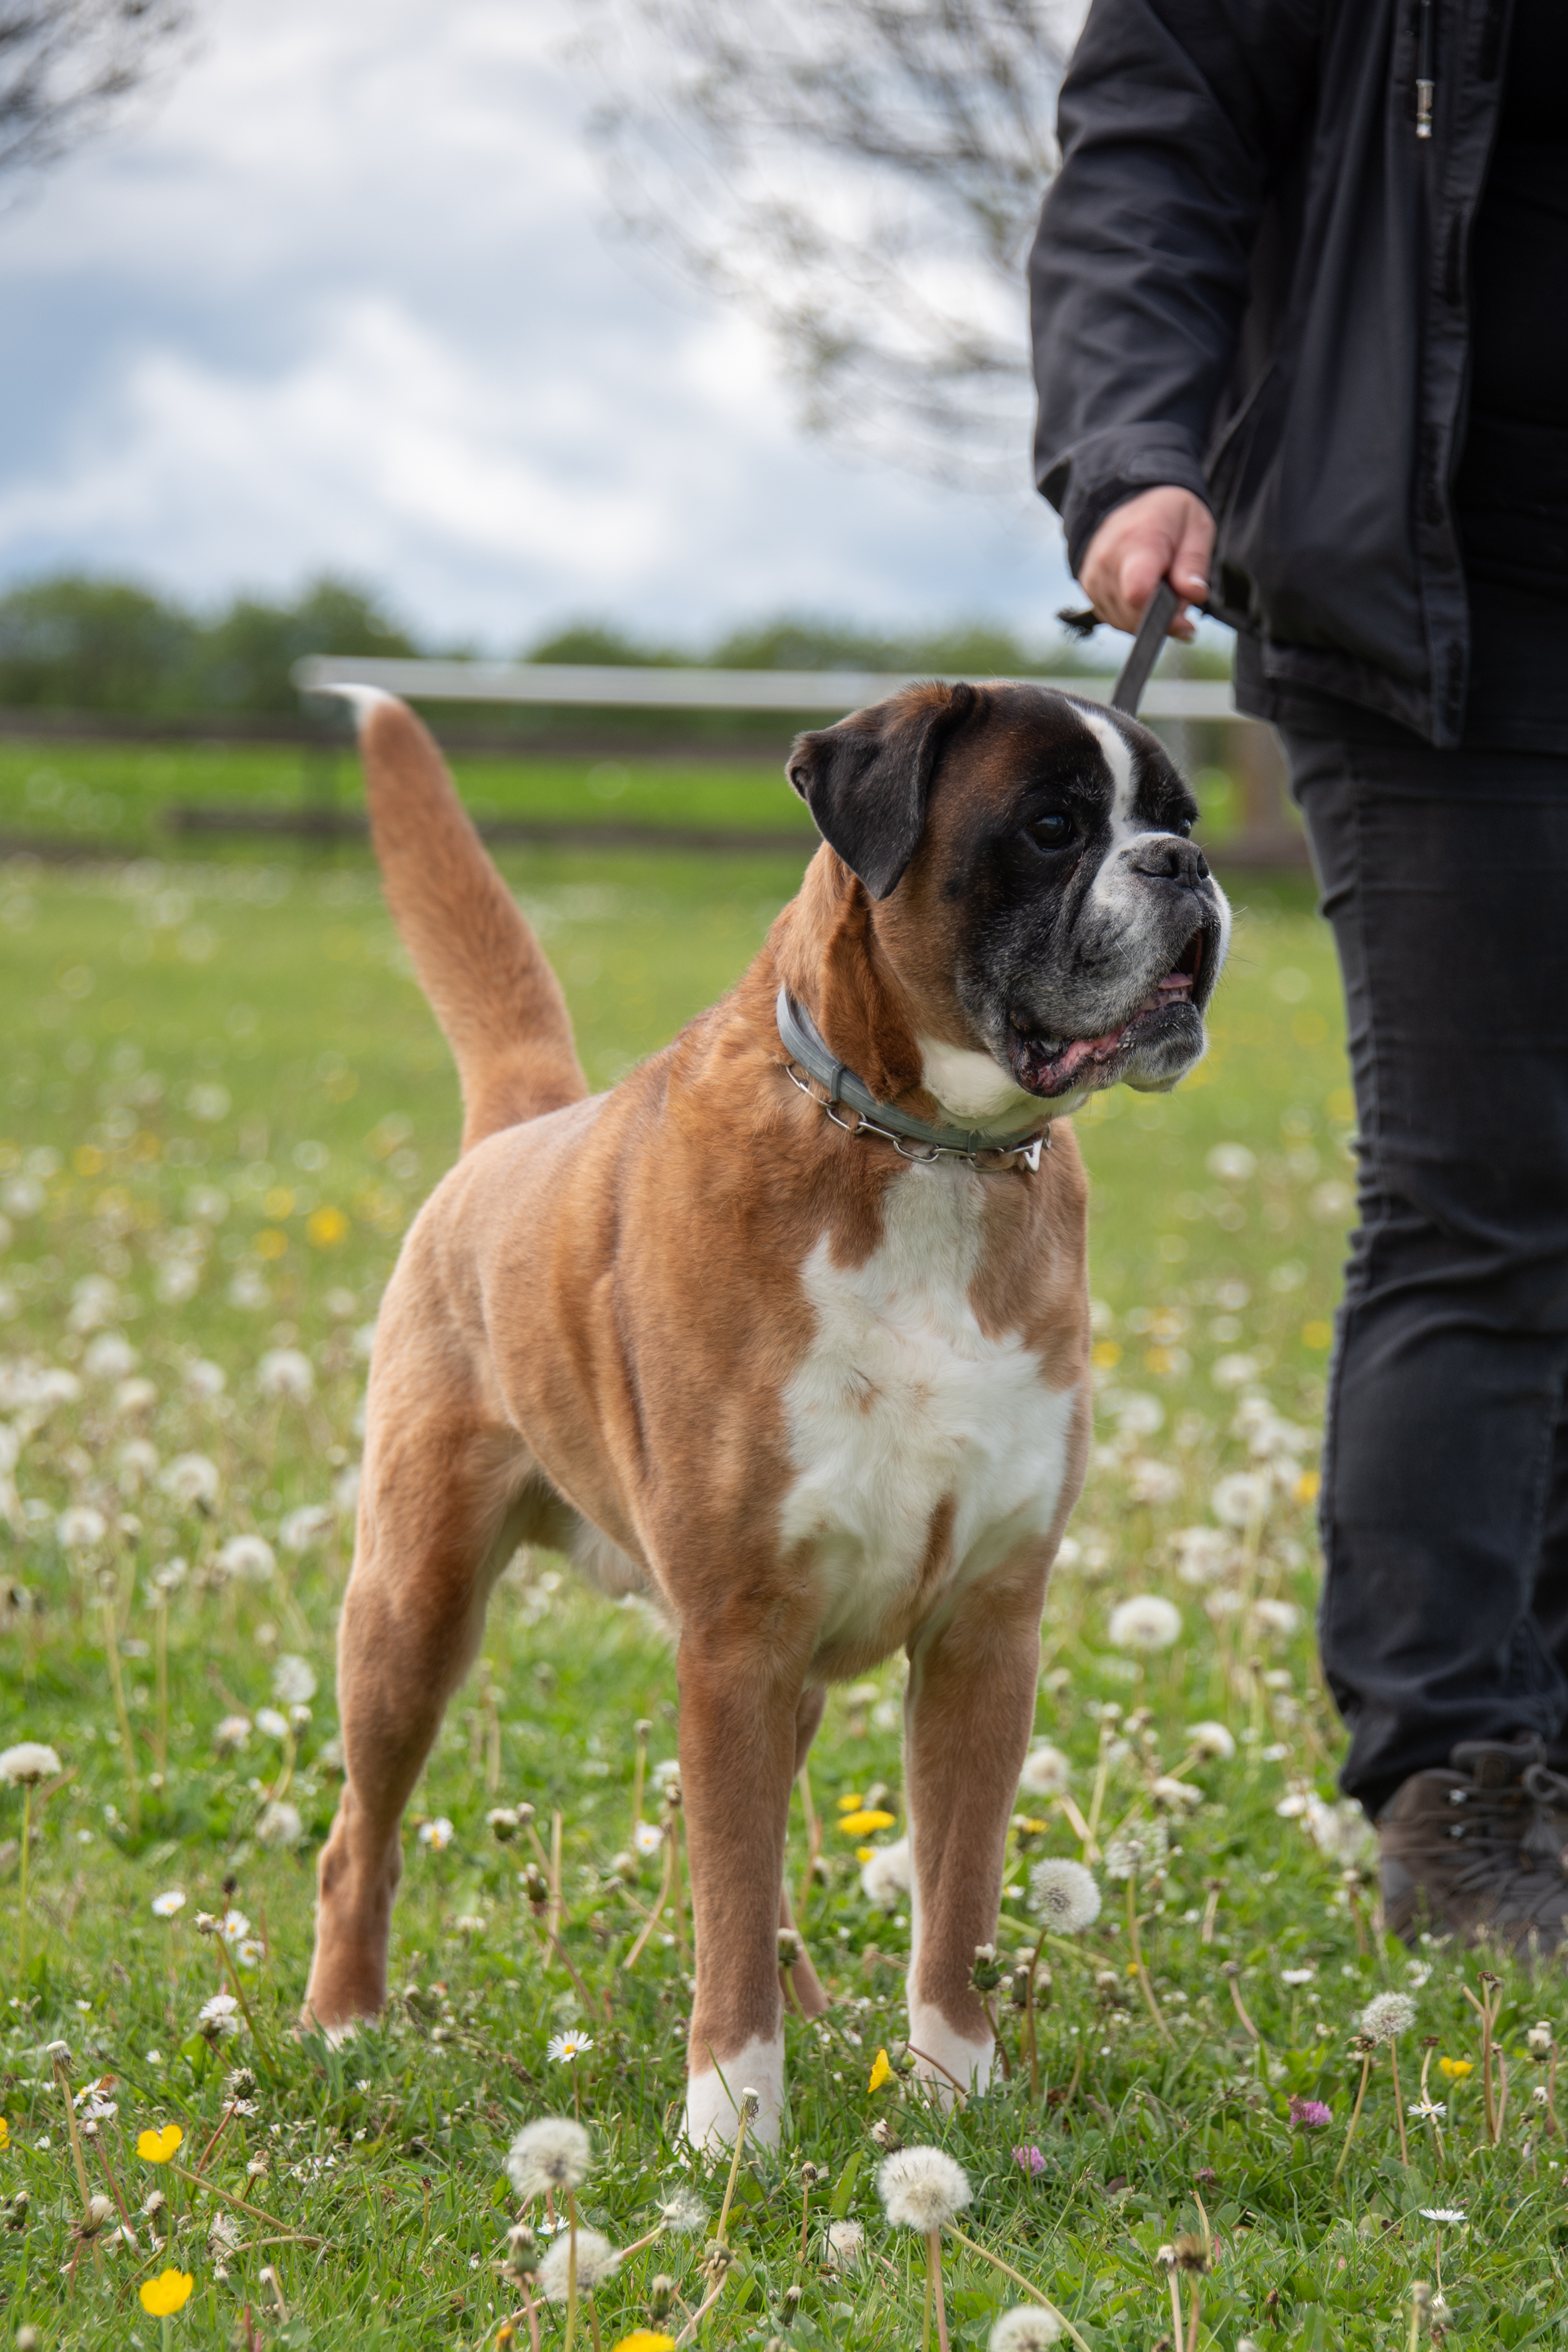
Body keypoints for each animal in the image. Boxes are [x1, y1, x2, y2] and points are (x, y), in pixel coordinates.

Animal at [301, 677, 1229, 2145]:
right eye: (1050, 825)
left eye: (1181, 816)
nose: (1183, 866)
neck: (923, 1152)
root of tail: (516, 1127)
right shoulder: (734, 1637)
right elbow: (729, 1902)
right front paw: (734, 2123)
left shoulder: (983, 1637)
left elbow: (952, 1898)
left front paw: (952, 2094)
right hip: (412, 1608)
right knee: (362, 1838)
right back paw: (343, 2023)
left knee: (770, 1871)